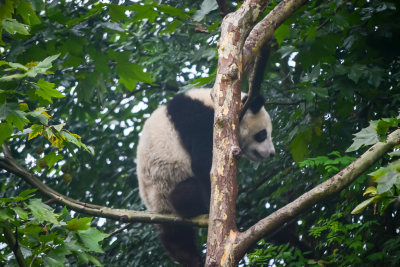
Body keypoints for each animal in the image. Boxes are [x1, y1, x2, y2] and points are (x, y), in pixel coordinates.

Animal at [138, 88, 276, 266]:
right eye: (262, 135)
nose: (272, 153)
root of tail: (158, 206)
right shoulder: (198, 119)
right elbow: (203, 163)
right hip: (167, 185)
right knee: (185, 194)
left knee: (175, 237)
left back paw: (190, 257)